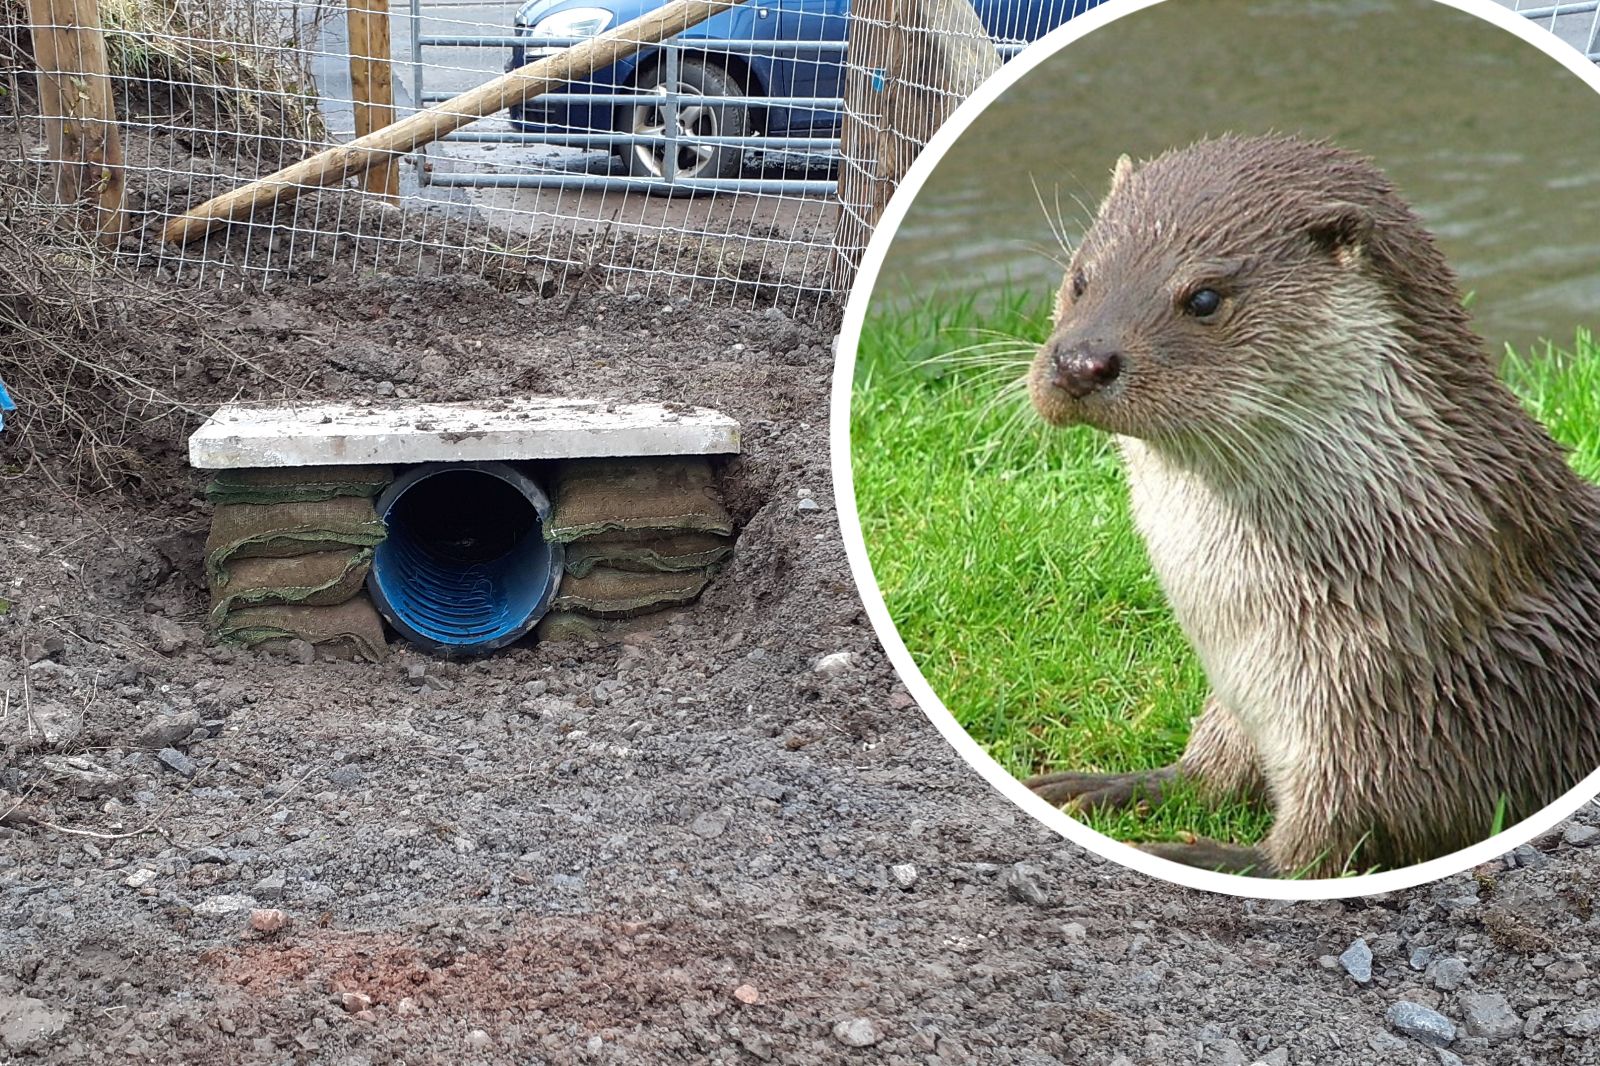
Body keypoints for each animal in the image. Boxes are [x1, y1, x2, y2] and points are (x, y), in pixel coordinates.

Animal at [1023, 134, 1600, 879]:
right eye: (1081, 279)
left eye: (1203, 297)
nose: (1081, 363)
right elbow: (1207, 772)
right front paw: (1106, 786)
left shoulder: (1412, 717)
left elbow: (1327, 852)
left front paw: (1196, 857)